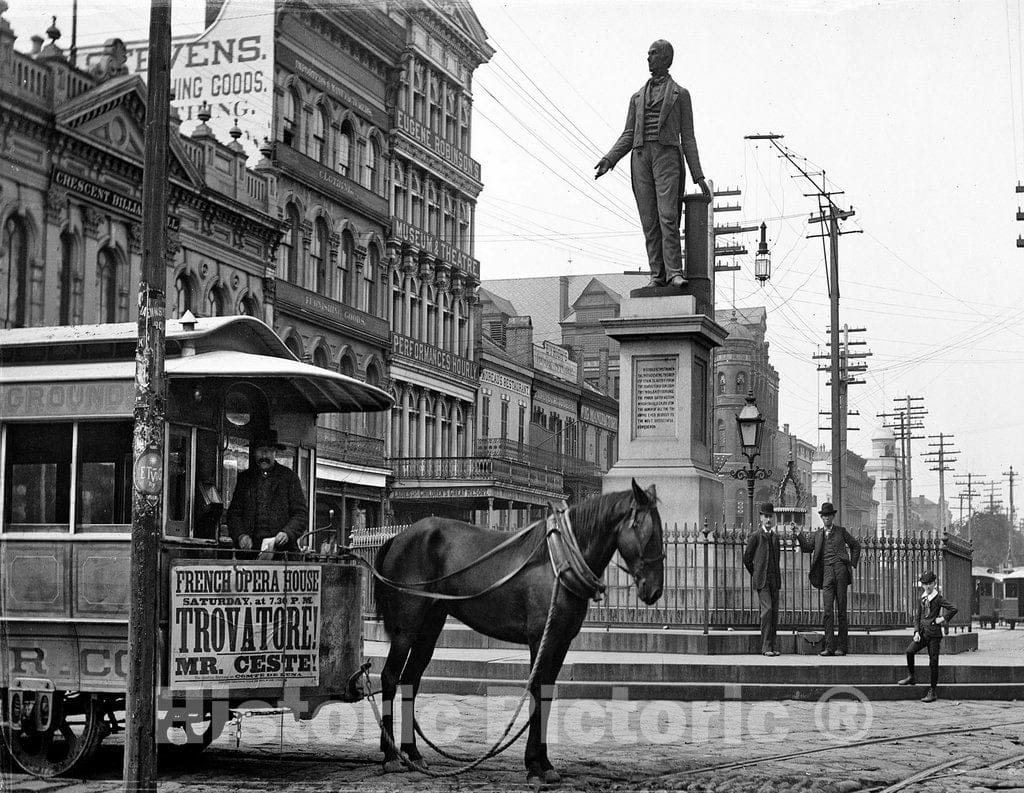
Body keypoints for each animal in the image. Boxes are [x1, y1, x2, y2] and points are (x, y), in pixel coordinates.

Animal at [376, 481, 663, 786]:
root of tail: (398, 537)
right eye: (645, 529)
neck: (558, 561)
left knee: (410, 680)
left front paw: (543, 762)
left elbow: (547, 692)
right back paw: (391, 755)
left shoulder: (561, 642)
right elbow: (537, 690)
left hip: (429, 627)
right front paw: (535, 764)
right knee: (390, 677)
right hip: (406, 627)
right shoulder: (541, 640)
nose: (654, 589)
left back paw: (412, 753)